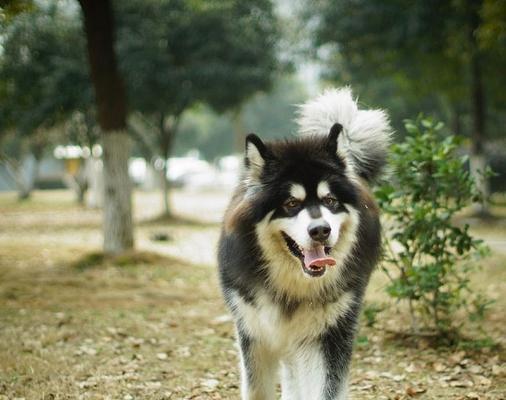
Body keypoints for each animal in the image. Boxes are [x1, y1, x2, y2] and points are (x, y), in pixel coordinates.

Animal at [217, 88, 392, 400]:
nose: (320, 230)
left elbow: (325, 389)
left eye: (330, 200)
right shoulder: (253, 331)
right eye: (291, 203)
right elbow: (257, 389)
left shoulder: (328, 336)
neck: (292, 286)